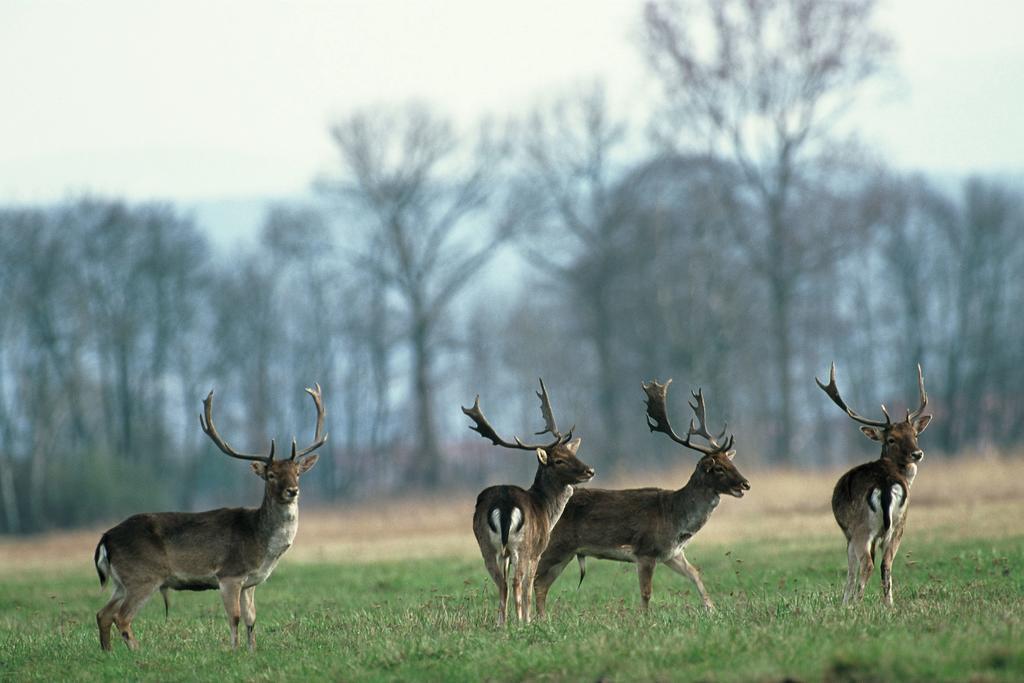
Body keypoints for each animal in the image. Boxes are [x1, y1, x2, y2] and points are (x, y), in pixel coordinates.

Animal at [92, 385, 325, 651]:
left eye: (297, 472)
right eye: (271, 475)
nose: (292, 491)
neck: (260, 543)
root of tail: (105, 538)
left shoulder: (250, 583)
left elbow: (251, 619)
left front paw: (252, 651)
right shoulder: (229, 574)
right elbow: (234, 617)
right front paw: (234, 651)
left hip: (121, 581)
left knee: (103, 614)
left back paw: (108, 653)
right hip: (143, 576)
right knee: (121, 616)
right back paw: (136, 653)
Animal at [462, 378, 598, 626]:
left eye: (571, 453)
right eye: (558, 460)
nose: (589, 470)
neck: (545, 508)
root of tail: (505, 504)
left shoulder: (505, 553)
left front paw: (509, 621)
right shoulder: (538, 549)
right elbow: (528, 584)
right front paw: (528, 620)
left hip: (488, 546)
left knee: (502, 583)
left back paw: (501, 624)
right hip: (522, 546)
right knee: (517, 582)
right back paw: (519, 622)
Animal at [532, 382, 749, 618]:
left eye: (731, 462)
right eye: (718, 468)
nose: (745, 484)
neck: (675, 517)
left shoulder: (672, 553)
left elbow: (696, 574)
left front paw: (712, 610)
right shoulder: (646, 550)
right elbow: (646, 592)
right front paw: (645, 619)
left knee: (539, 583)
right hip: (555, 546)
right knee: (535, 581)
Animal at [811, 366, 933, 606]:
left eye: (915, 434)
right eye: (892, 439)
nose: (917, 453)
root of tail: (885, 485)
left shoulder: (848, 533)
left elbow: (851, 570)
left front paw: (844, 603)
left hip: (862, 527)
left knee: (867, 564)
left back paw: (857, 603)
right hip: (898, 526)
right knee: (886, 564)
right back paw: (889, 605)